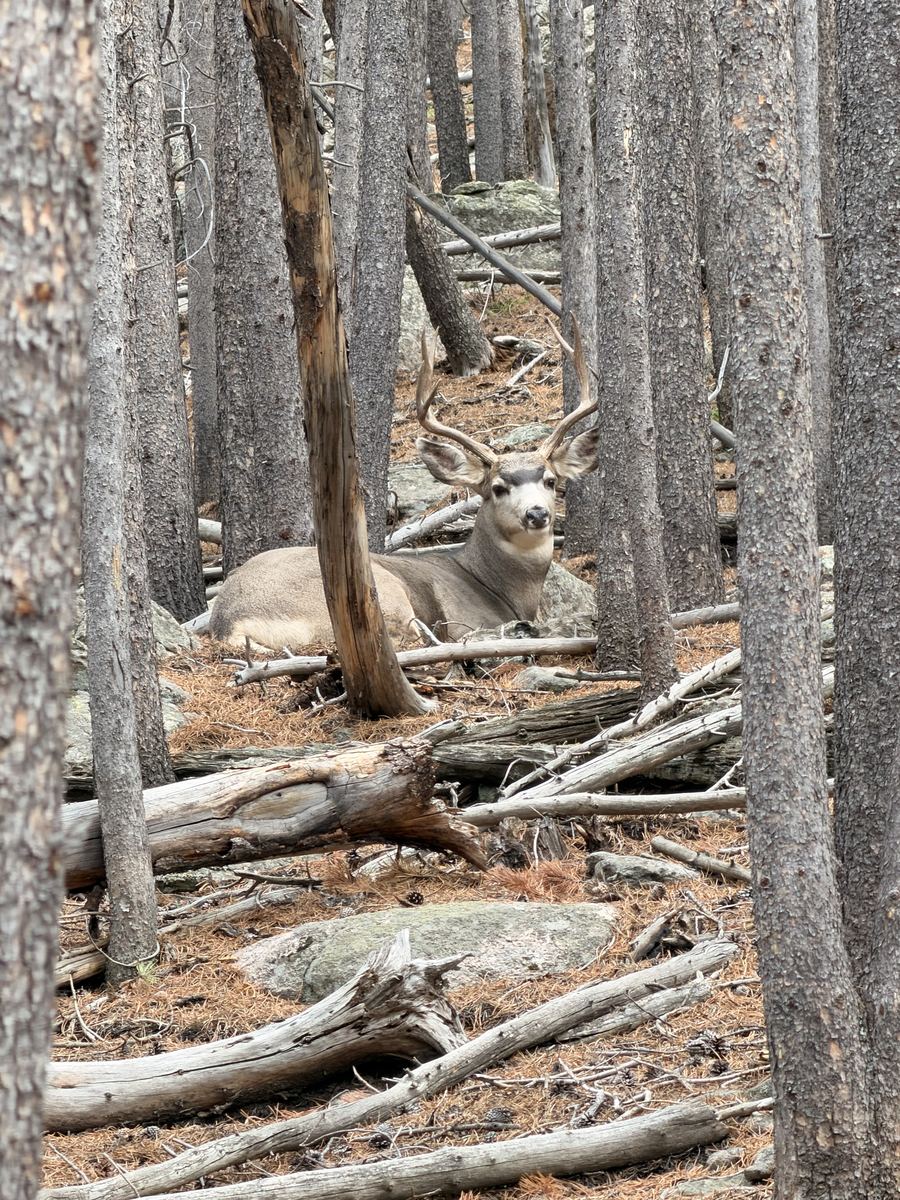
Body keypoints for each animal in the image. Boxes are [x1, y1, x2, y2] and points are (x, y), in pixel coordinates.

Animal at [209, 330, 599, 651]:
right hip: (381, 592)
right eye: (497, 488)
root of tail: (229, 621)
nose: (537, 513)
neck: (496, 587)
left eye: (550, 480)